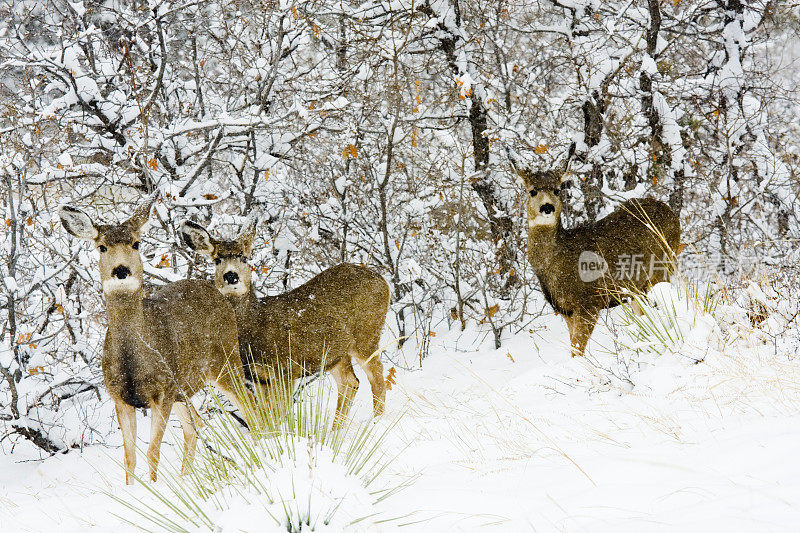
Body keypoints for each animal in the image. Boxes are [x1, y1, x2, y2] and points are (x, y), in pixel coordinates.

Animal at [60, 198, 250, 482]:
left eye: (136, 243)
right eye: (102, 246)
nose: (121, 270)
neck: (133, 360)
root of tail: (217, 291)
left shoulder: (162, 391)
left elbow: (152, 452)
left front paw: (153, 487)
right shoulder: (120, 397)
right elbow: (129, 457)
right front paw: (134, 490)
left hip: (225, 363)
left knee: (251, 407)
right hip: (183, 388)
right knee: (195, 426)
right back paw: (185, 479)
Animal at [182, 216, 394, 424]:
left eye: (244, 257)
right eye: (217, 259)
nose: (231, 276)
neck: (254, 325)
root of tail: (383, 280)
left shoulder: (285, 368)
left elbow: (279, 414)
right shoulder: (259, 378)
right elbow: (266, 416)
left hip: (367, 335)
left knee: (377, 374)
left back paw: (377, 422)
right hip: (335, 353)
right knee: (350, 382)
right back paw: (336, 429)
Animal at [520, 167, 680, 358]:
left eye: (557, 190)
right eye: (532, 191)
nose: (547, 207)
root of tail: (671, 212)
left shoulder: (590, 301)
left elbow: (577, 350)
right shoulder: (566, 310)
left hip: (662, 266)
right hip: (637, 287)